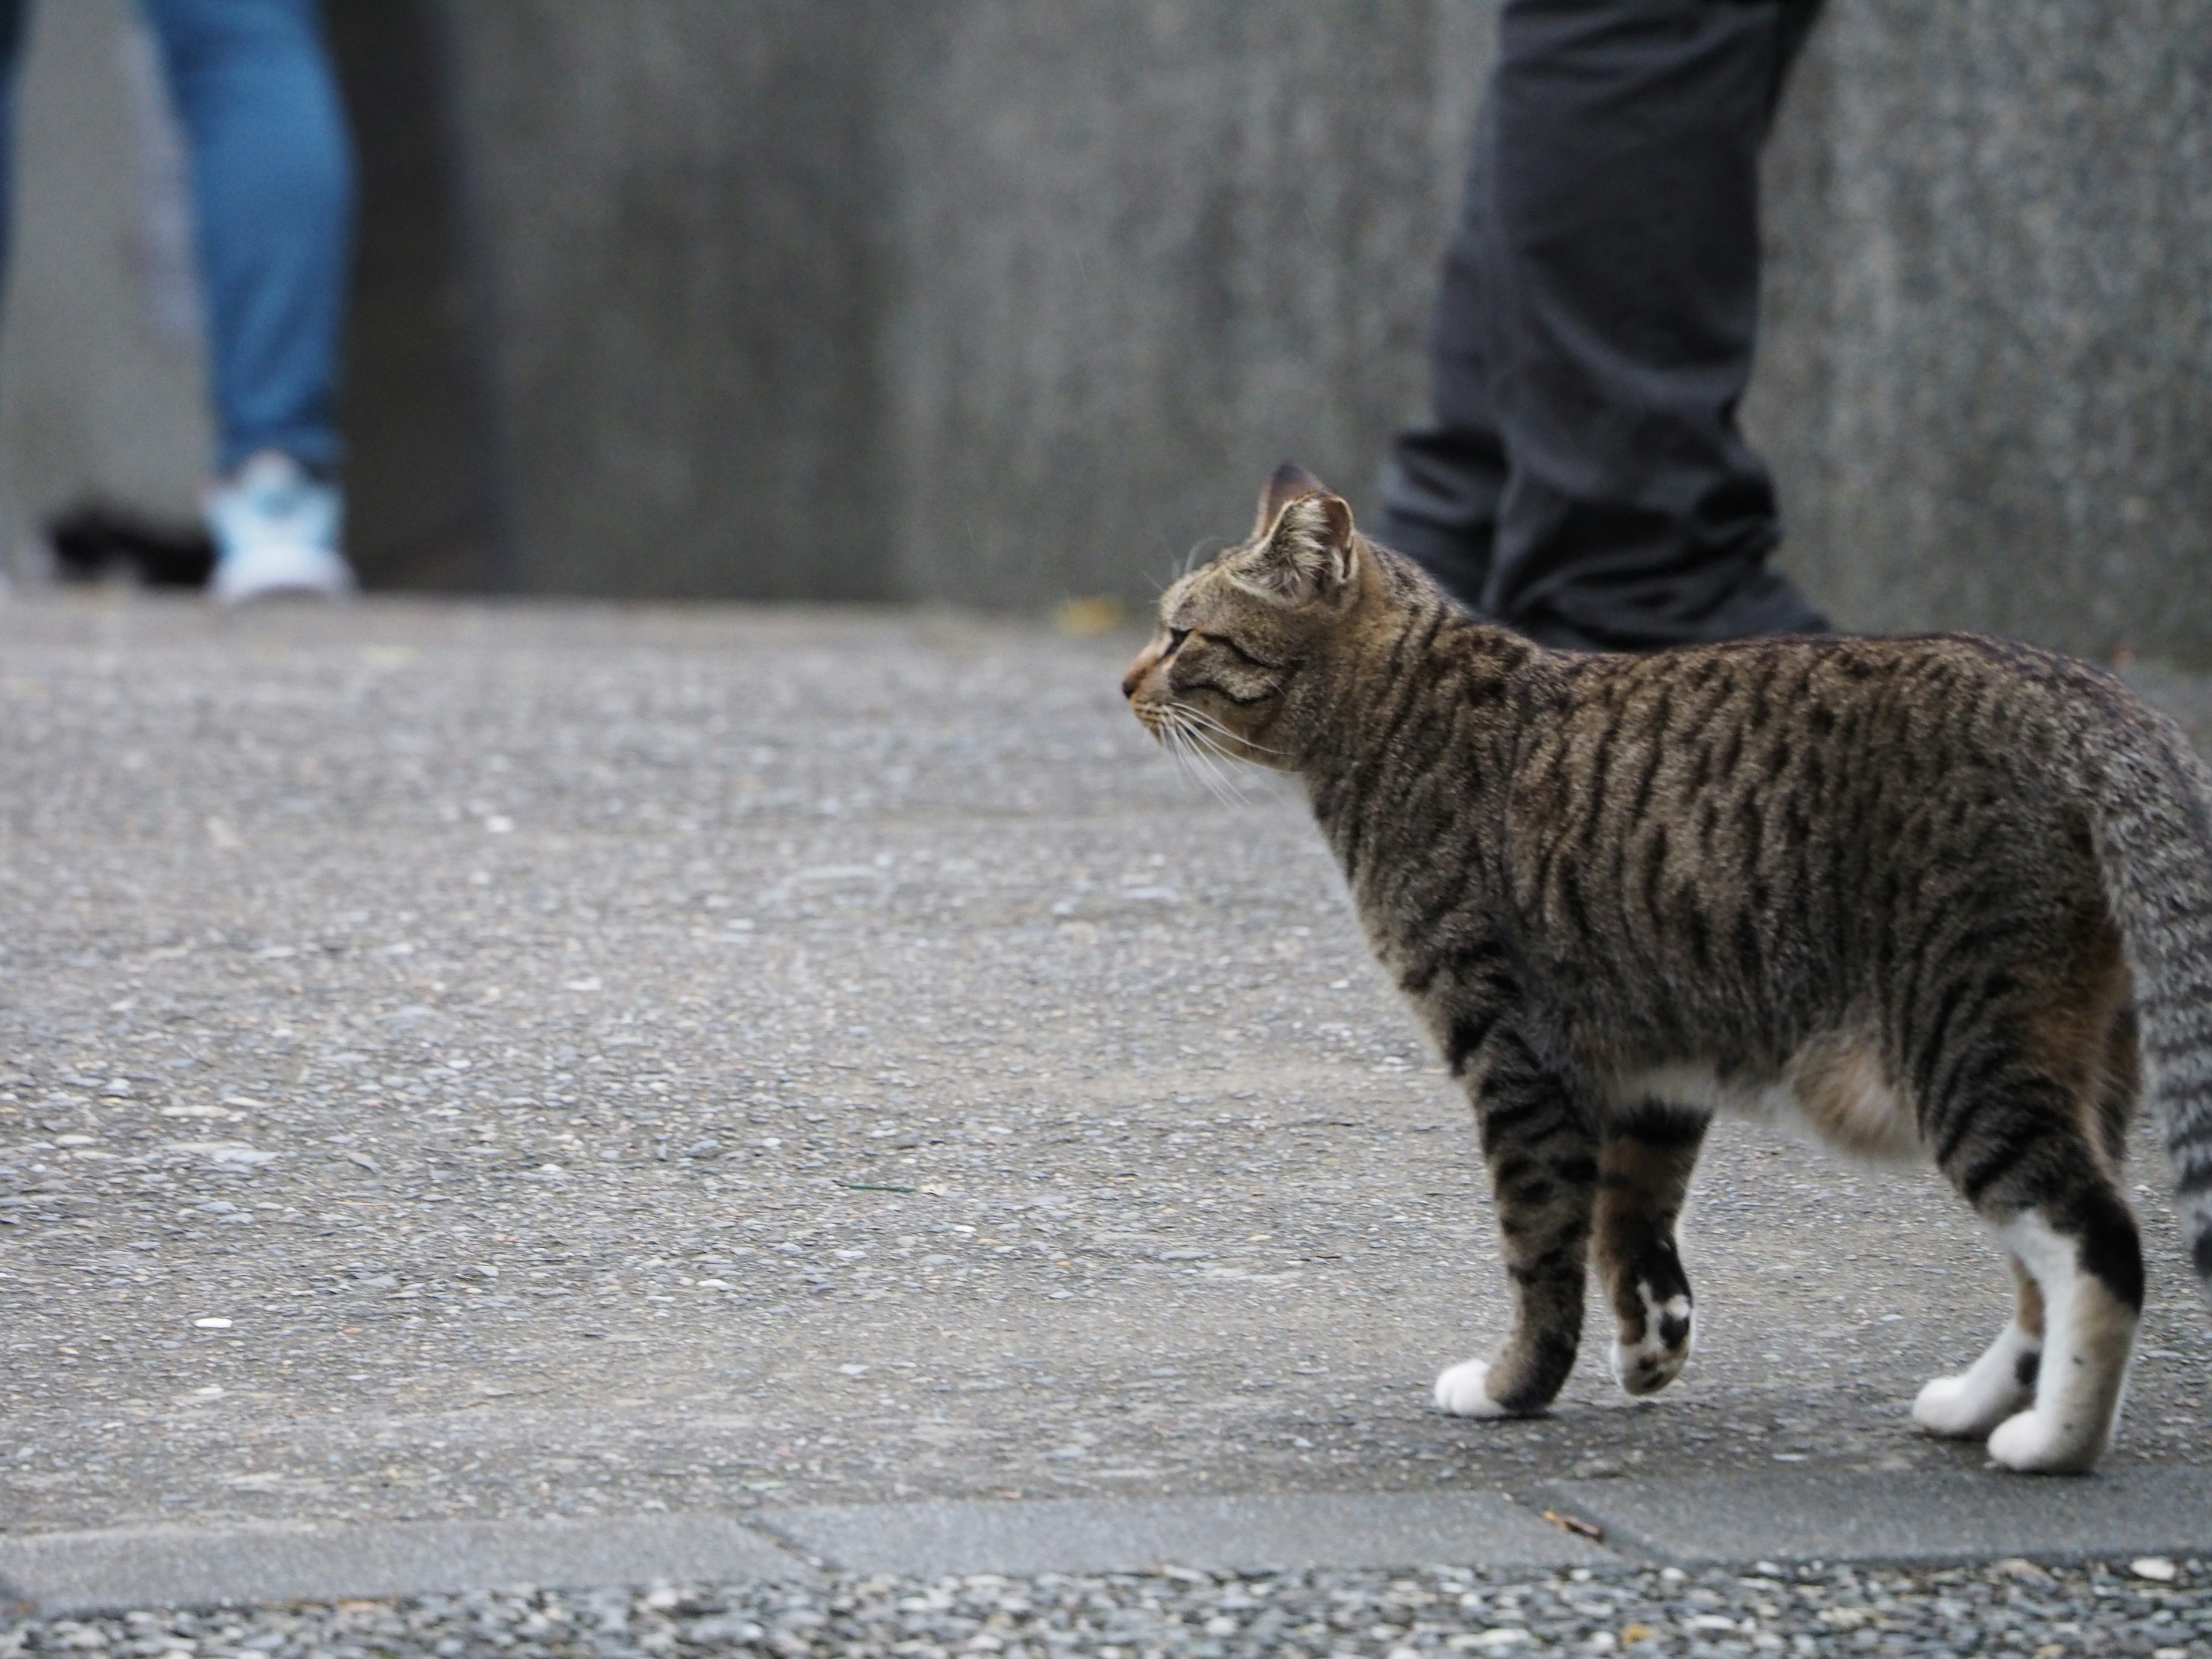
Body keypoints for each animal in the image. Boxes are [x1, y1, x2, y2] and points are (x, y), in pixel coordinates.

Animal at [1123, 464, 2212, 1478]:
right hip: (2080, 1059)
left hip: (1968, 1041)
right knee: (2043, 1267)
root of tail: (2091, 695)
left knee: (2099, 1244)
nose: (1127, 683)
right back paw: (1975, 1406)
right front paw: (1651, 1344)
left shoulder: (1515, 1054)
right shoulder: (1657, 1062)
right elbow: (1631, 1221)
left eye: (1183, 636)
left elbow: (1543, 1248)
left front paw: (1514, 1387)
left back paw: (2056, 1443)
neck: (1401, 721)